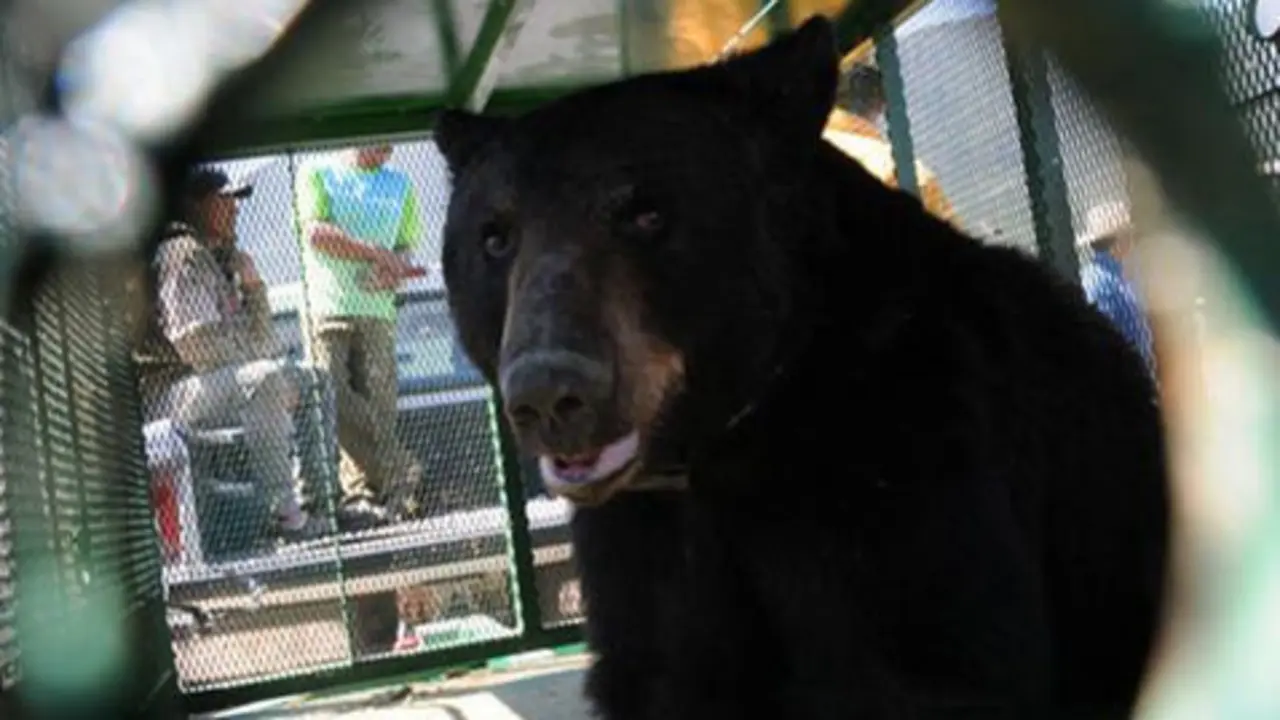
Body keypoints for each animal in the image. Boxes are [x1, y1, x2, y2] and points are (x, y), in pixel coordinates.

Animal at [434, 15, 1169, 720]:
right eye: (494, 238)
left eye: (646, 213)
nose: (549, 393)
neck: (720, 446)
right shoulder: (641, 546)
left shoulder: (909, 444)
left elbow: (930, 664)